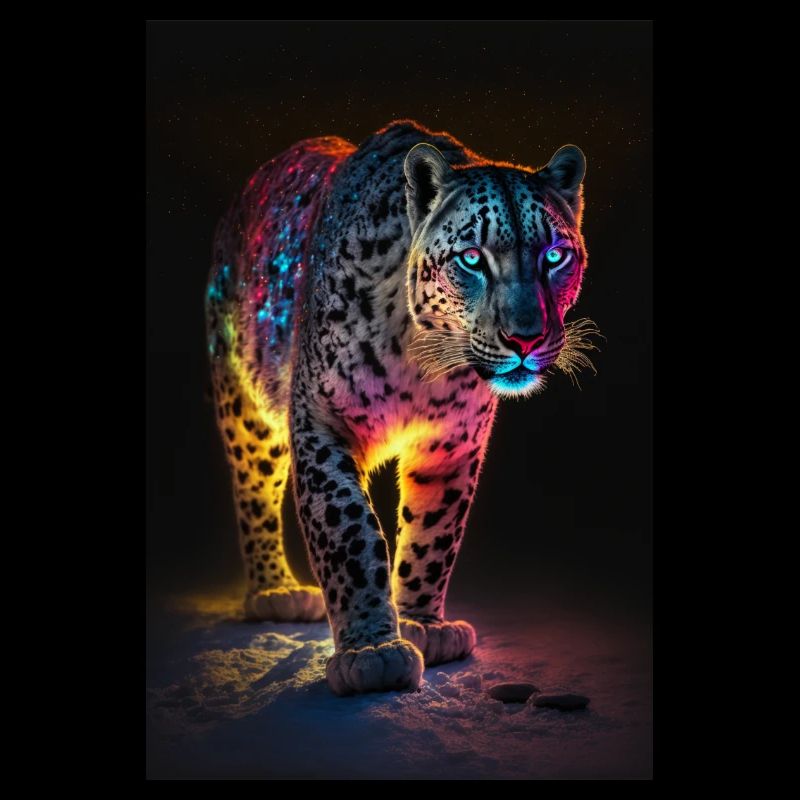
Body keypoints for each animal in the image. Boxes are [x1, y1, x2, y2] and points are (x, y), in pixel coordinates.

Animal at [205, 120, 594, 696]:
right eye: (472, 259)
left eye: (554, 256)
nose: (525, 338)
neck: (421, 356)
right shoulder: (322, 420)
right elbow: (349, 530)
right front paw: (372, 652)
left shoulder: (452, 444)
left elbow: (435, 533)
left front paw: (423, 625)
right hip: (245, 404)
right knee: (253, 489)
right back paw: (274, 591)